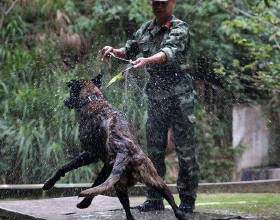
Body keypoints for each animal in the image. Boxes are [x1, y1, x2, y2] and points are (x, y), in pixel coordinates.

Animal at [42, 74, 186, 220]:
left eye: (71, 92)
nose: (65, 100)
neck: (92, 98)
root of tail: (127, 153)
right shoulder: (106, 165)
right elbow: (97, 184)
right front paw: (85, 202)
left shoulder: (90, 154)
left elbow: (65, 167)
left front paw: (49, 183)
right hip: (157, 182)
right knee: (176, 208)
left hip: (120, 186)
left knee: (129, 214)